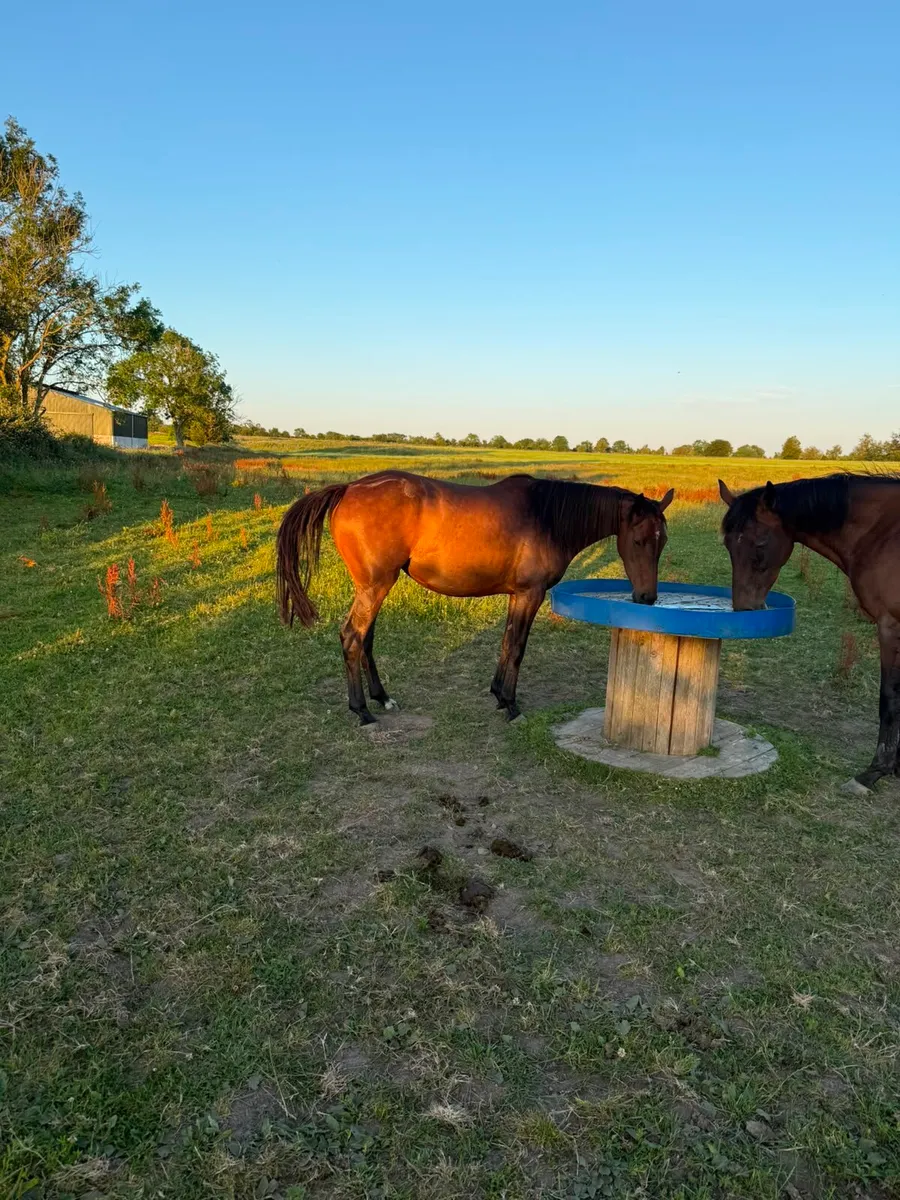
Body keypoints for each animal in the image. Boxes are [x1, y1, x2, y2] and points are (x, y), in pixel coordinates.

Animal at [277, 470, 674, 725]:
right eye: (639, 540)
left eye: (663, 541)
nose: (646, 597)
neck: (546, 517)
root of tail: (348, 489)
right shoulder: (530, 594)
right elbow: (517, 647)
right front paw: (511, 705)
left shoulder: (518, 595)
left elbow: (507, 642)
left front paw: (499, 694)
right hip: (375, 586)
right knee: (352, 637)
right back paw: (362, 711)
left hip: (372, 586)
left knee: (365, 639)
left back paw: (381, 698)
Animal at [718, 473, 900, 791]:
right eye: (728, 544)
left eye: (760, 544)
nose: (745, 608)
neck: (882, 533)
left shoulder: (890, 625)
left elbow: (888, 697)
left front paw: (874, 771)